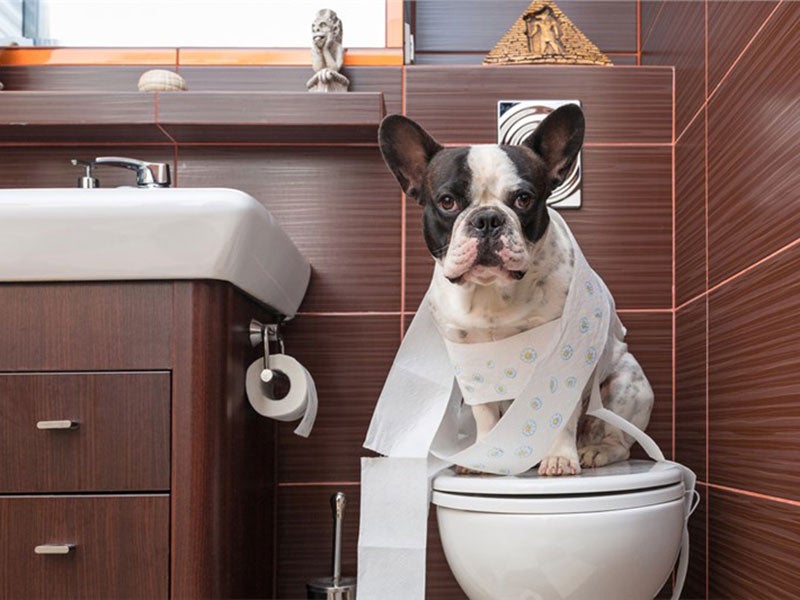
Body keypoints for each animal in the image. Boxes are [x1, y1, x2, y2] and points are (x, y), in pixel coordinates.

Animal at [378, 104, 652, 478]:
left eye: (524, 199)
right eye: (447, 202)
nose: (487, 219)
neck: (492, 293)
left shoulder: (563, 359)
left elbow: (560, 413)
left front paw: (560, 458)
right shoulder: (472, 362)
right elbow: (485, 415)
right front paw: (487, 457)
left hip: (627, 382)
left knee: (618, 441)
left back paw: (593, 451)